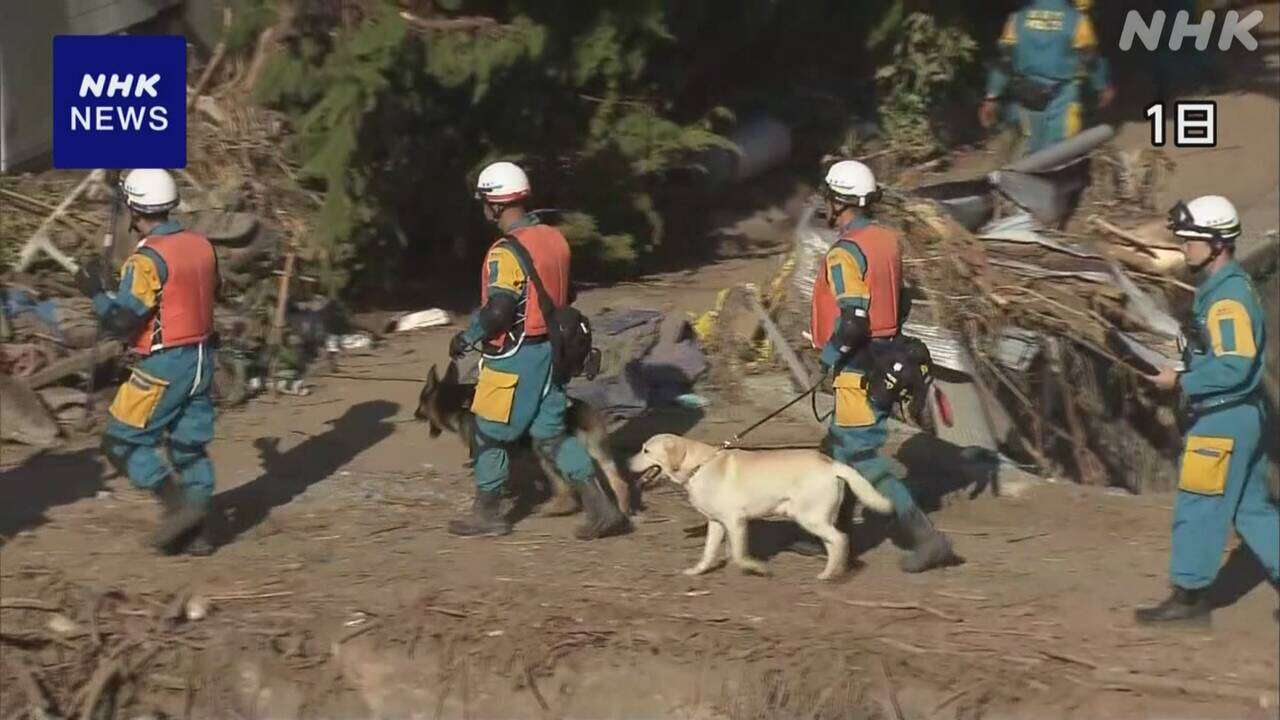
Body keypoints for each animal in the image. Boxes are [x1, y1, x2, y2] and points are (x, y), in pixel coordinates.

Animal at [417, 361, 632, 512]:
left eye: (420, 405)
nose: (414, 415)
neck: (457, 401)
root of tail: (573, 408)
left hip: (546, 453)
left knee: (566, 489)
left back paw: (556, 508)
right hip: (599, 454)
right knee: (618, 483)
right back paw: (622, 510)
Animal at [627, 430, 890, 576]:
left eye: (646, 450)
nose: (626, 464)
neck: (699, 466)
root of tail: (831, 464)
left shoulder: (736, 521)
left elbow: (739, 554)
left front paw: (757, 568)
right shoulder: (716, 523)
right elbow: (709, 552)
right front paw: (698, 570)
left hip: (809, 517)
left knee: (841, 539)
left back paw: (831, 575)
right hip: (818, 518)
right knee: (834, 542)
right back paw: (833, 570)